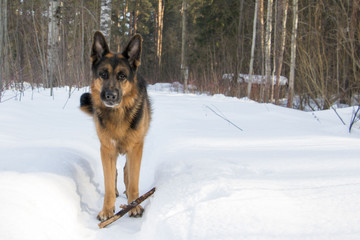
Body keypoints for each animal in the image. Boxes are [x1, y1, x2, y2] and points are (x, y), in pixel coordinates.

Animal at [80, 32, 150, 221]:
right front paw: (107, 210)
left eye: (122, 76)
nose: (110, 96)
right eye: (103, 74)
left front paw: (135, 206)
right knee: (117, 174)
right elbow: (109, 184)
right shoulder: (107, 150)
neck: (118, 113)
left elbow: (133, 181)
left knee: (127, 171)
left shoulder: (136, 148)